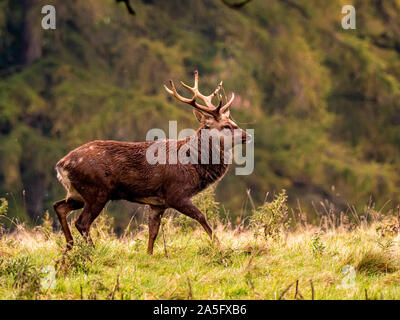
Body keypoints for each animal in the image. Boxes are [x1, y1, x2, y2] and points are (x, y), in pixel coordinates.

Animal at [53, 70, 250, 255]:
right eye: (226, 126)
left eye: (233, 121)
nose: (247, 135)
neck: (192, 164)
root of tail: (61, 165)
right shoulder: (175, 193)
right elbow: (202, 217)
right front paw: (220, 247)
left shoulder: (157, 203)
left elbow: (152, 232)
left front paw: (149, 255)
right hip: (97, 190)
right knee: (81, 222)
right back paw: (91, 251)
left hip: (78, 193)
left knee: (59, 207)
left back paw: (69, 247)